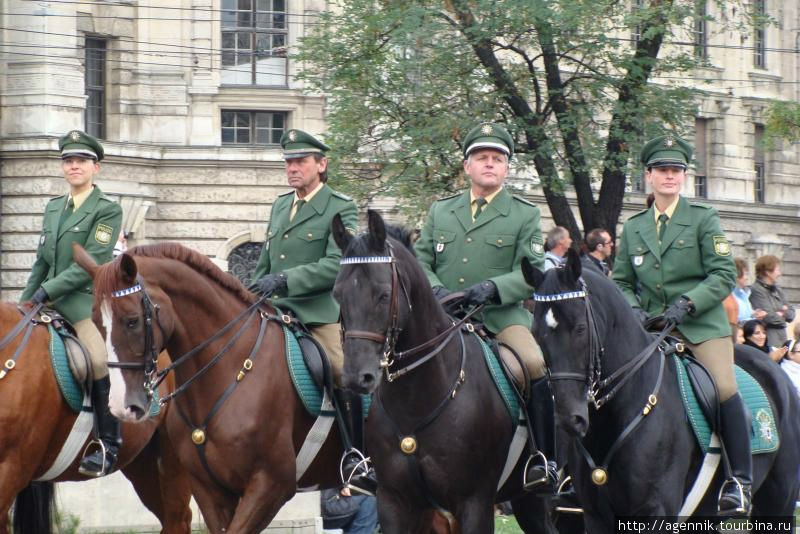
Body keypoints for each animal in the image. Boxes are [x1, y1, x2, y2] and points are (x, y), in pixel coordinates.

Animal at [330, 211, 556, 534]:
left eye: (383, 295)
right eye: (337, 294)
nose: (355, 377)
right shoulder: (394, 502)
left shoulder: (475, 502)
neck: (417, 399)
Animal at [520, 251, 800, 534]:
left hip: (779, 501)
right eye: (535, 334)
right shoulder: (595, 516)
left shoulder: (655, 512)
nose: (567, 419)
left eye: (580, 328)